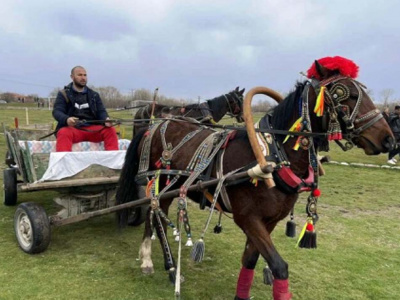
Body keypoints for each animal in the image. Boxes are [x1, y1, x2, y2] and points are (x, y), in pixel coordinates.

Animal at [115, 56, 394, 300]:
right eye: (345, 94)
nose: (389, 139)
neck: (273, 155)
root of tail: (155, 125)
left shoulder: (268, 221)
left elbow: (250, 259)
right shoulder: (248, 218)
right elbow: (279, 266)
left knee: (153, 215)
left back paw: (152, 259)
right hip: (161, 183)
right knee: (155, 216)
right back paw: (167, 267)